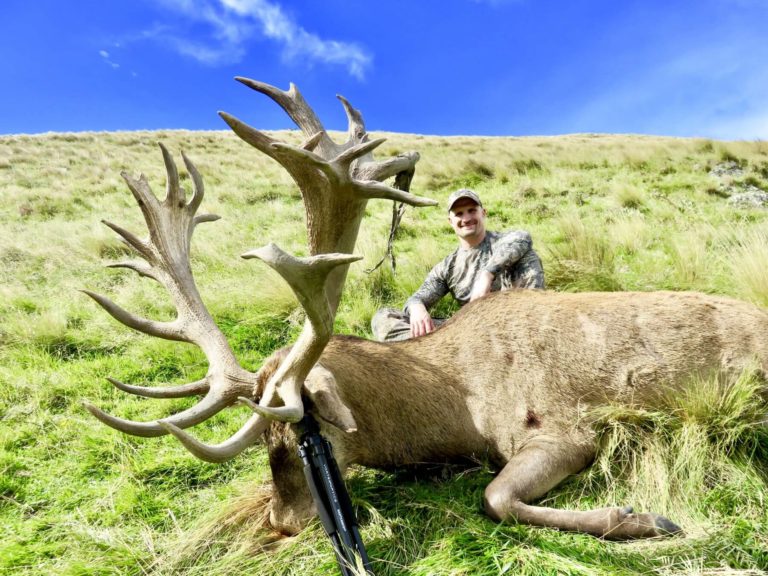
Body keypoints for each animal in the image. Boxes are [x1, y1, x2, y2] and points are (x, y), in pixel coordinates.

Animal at [83, 79, 768, 544]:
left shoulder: (566, 428)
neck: (455, 407)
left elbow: (495, 498)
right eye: (265, 440)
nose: (280, 520)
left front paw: (643, 517)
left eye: (305, 431)